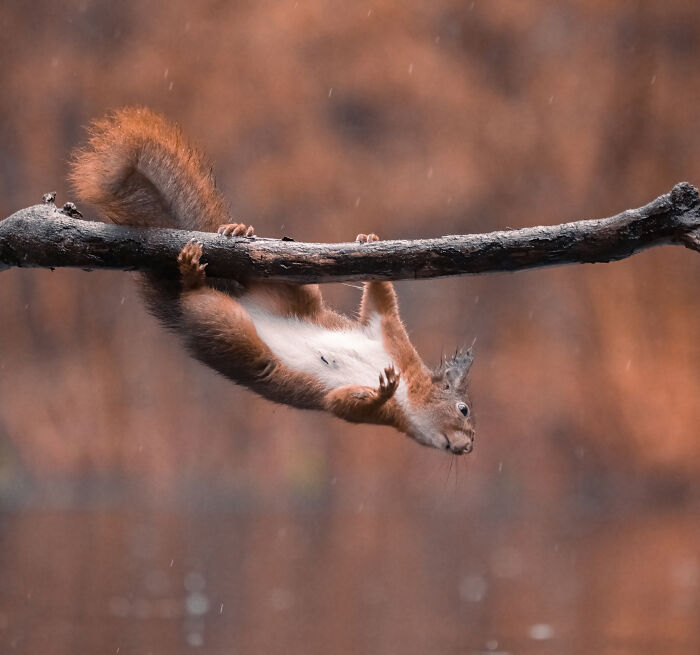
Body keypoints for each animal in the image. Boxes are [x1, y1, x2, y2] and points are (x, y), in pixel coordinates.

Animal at [70, 108, 475, 455]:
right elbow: (381, 305)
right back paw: (219, 250)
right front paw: (371, 241)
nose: (469, 446)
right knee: (206, 295)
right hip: (246, 317)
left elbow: (342, 404)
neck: (410, 387)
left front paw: (381, 390)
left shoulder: (375, 403)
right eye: (464, 409)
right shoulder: (392, 339)